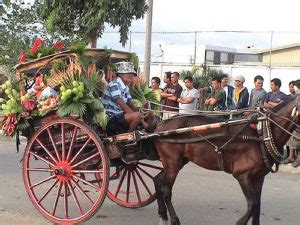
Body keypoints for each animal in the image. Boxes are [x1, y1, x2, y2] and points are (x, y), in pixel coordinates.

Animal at [154, 95, 298, 225]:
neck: (262, 134)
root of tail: (160, 125)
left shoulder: (258, 178)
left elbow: (257, 207)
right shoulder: (242, 175)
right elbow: (253, 204)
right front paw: (240, 222)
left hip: (176, 162)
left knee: (157, 181)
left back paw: (163, 214)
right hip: (172, 163)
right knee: (166, 191)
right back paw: (174, 219)